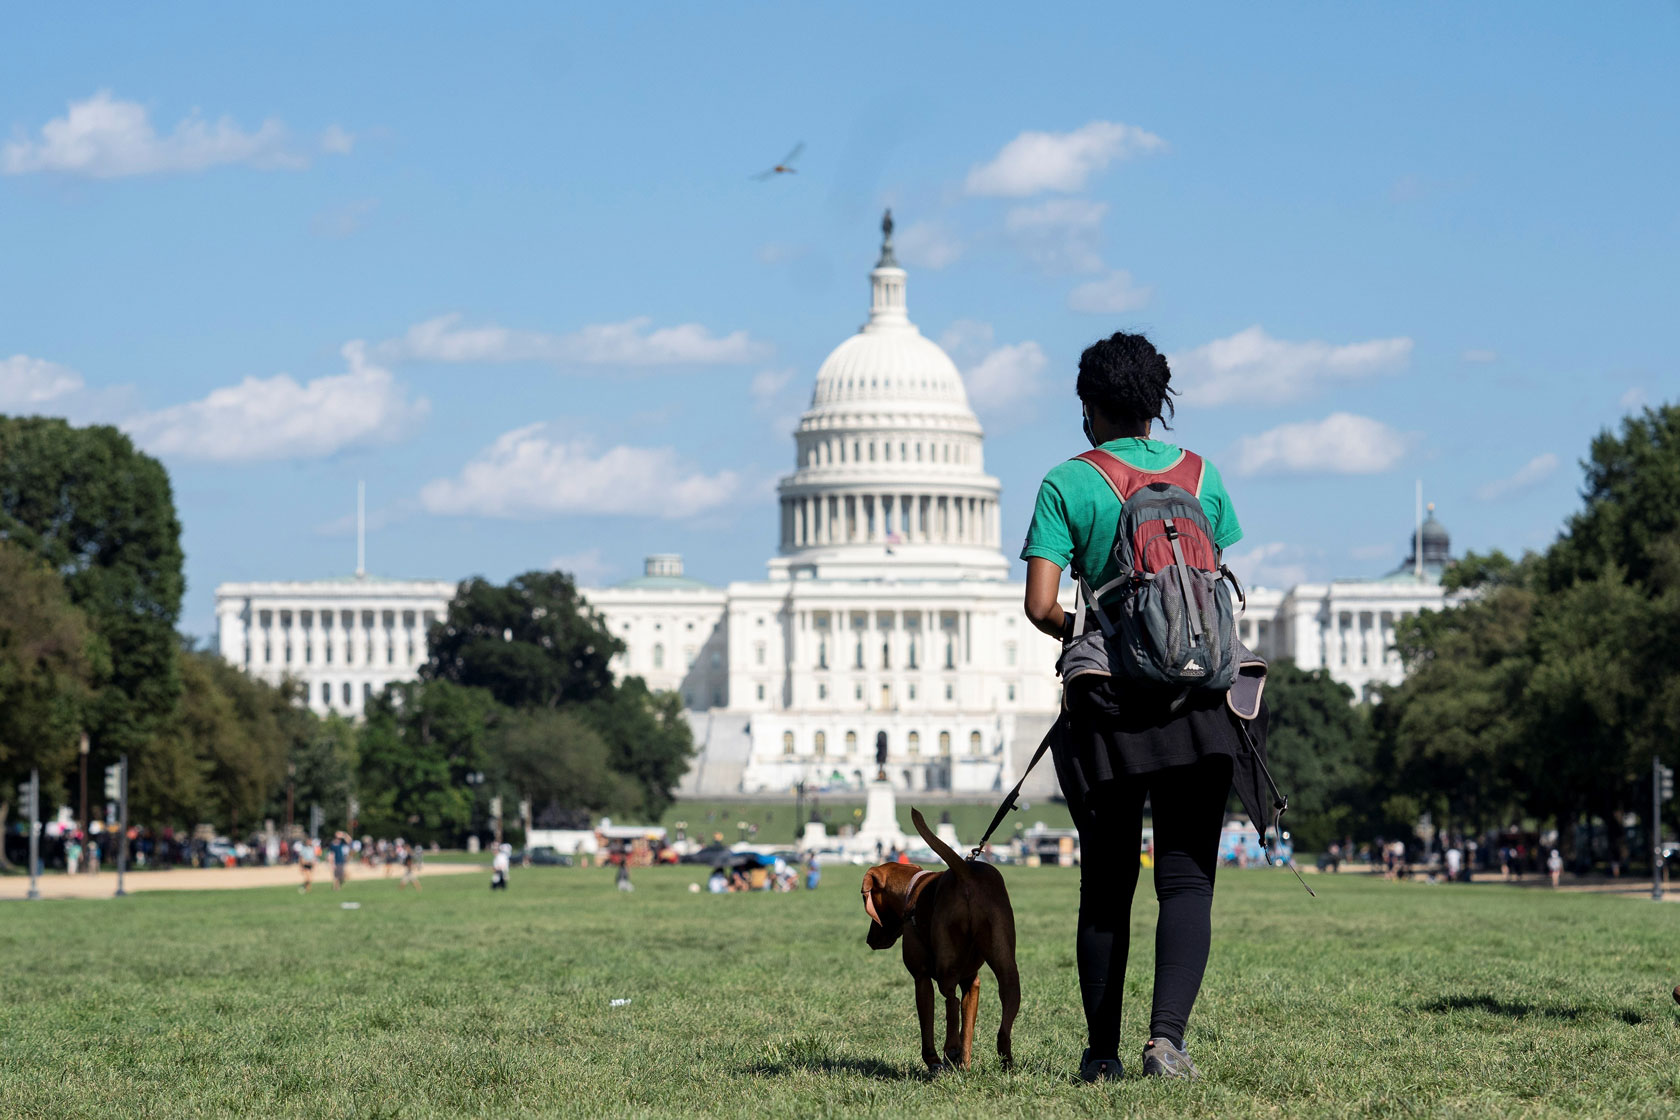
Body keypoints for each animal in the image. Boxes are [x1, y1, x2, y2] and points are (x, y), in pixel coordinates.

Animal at [860, 809, 1014, 1074]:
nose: (870, 939)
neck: (913, 890)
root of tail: (965, 871)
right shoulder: (972, 981)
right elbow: (968, 1029)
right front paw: (964, 1065)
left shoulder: (921, 978)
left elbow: (928, 1026)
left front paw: (935, 1060)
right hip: (1006, 963)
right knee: (1006, 1008)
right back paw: (1004, 1057)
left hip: (946, 966)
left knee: (950, 1000)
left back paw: (950, 1049)